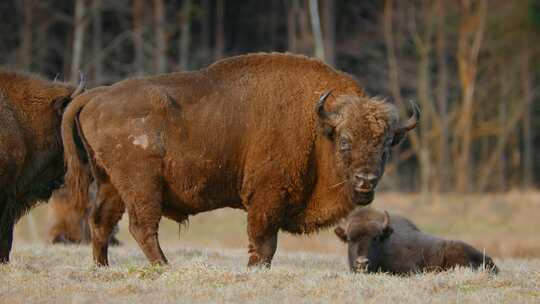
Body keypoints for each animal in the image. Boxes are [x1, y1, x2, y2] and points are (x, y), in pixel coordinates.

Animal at [63, 53, 418, 268]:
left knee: (100, 222)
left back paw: (102, 267)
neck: (317, 125)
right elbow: (263, 242)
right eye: (345, 141)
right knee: (141, 227)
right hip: (141, 186)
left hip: (110, 183)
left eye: (386, 146)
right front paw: (255, 268)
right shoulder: (266, 198)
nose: (365, 180)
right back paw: (164, 266)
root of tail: (97, 95)